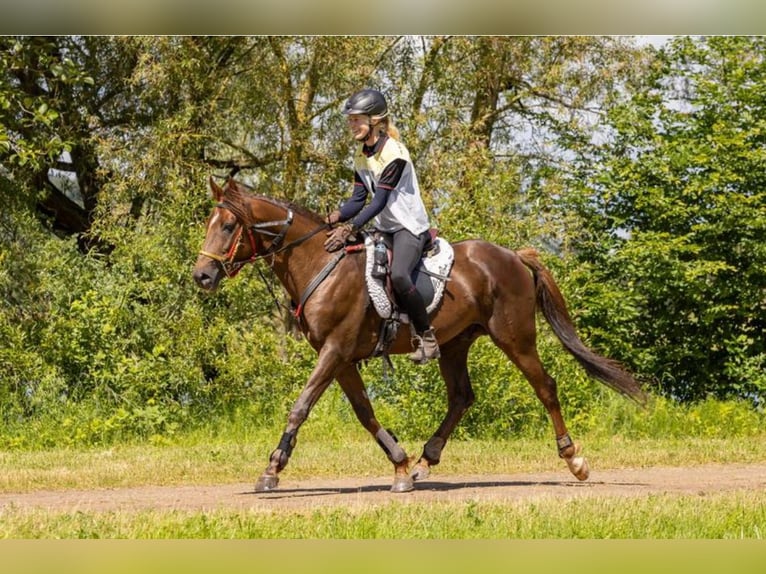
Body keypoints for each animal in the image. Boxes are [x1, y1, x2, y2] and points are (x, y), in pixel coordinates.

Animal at [192, 177, 648, 496]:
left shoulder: (335, 351)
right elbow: (365, 413)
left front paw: (271, 470)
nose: (202, 275)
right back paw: (424, 462)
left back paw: (574, 459)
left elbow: (300, 407)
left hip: (515, 339)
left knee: (545, 387)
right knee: (462, 397)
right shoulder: (341, 358)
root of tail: (515, 256)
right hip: (455, 344)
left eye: (228, 225)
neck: (320, 263)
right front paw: (398, 464)